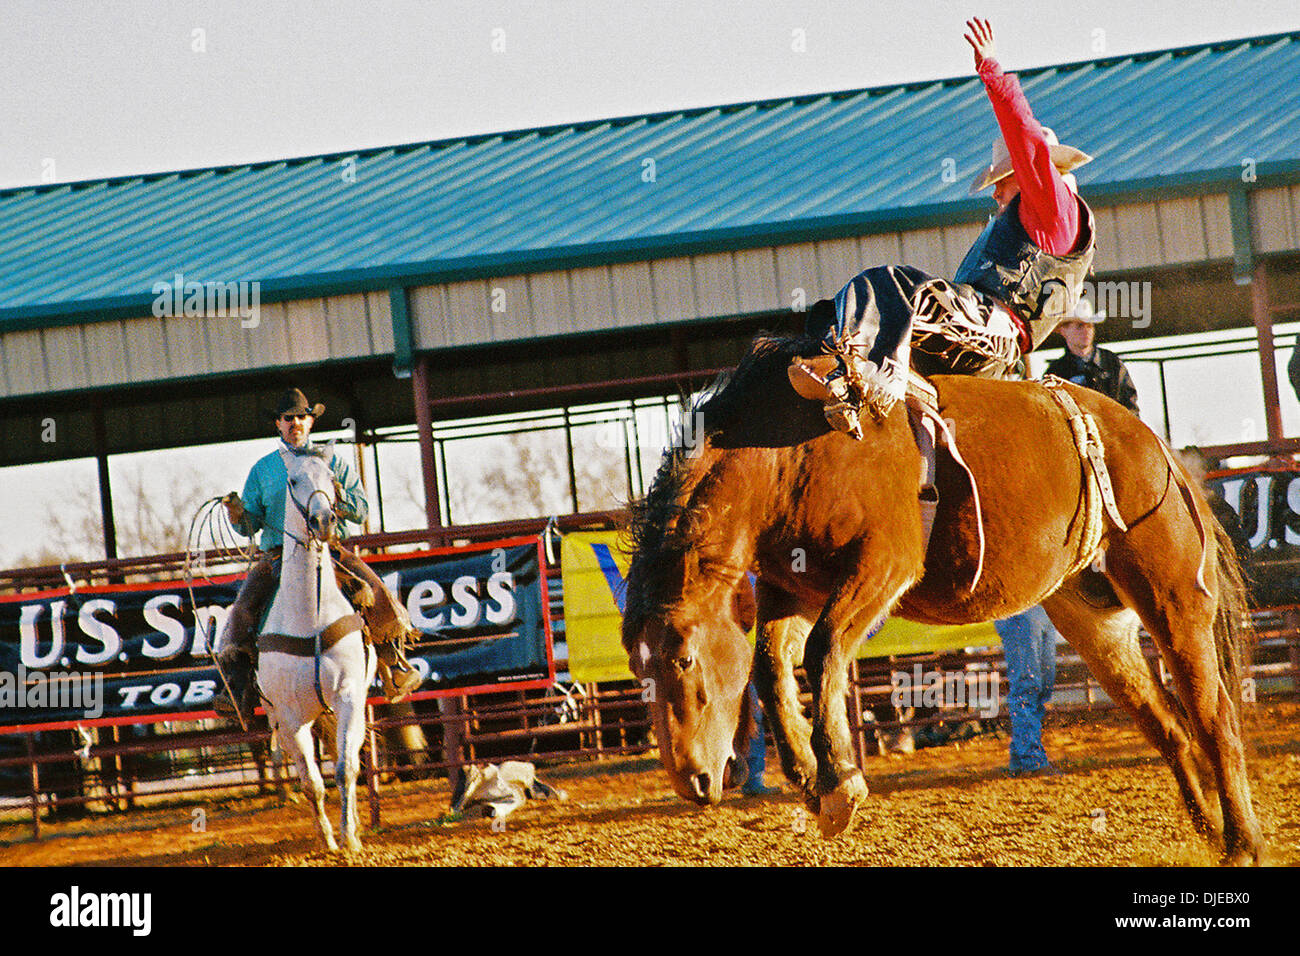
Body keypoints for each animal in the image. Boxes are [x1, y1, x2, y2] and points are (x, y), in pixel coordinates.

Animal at [254, 444, 374, 858]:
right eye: (292, 480)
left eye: (333, 478)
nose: (323, 520)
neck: (310, 612)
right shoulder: (291, 717)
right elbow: (312, 783)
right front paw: (328, 840)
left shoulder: (350, 696)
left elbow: (345, 768)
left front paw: (350, 837)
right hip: (284, 720)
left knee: (347, 758)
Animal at [624, 335, 1263, 868]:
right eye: (637, 668)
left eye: (683, 657)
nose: (692, 781)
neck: (790, 451)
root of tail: (1156, 448)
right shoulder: (796, 589)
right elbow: (770, 665)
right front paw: (809, 777)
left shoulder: (882, 567)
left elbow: (823, 652)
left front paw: (840, 787)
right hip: (1097, 626)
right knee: (1170, 727)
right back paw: (1209, 833)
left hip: (1173, 598)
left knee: (1215, 718)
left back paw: (1243, 843)